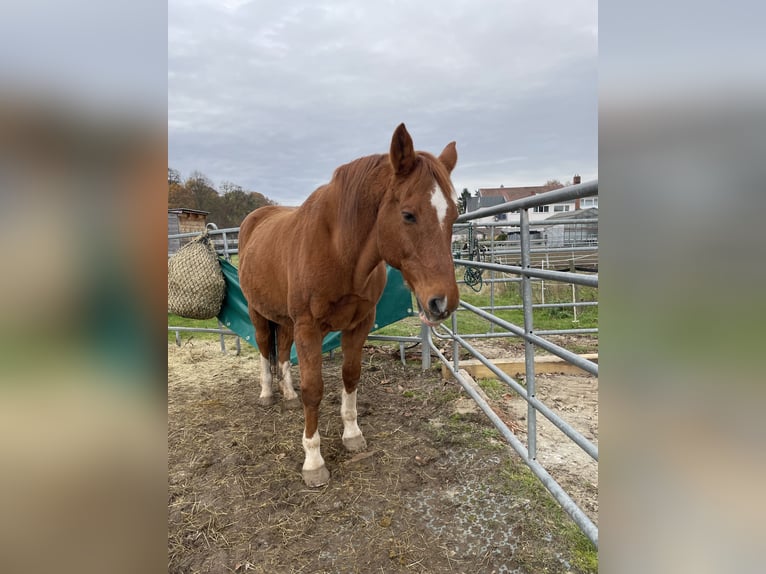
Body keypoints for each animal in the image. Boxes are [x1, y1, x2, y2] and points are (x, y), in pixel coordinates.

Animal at [238, 123, 460, 487]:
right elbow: (314, 389)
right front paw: (313, 461)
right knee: (263, 349)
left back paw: (287, 394)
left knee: (281, 351)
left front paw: (352, 434)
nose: (443, 301)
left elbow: (351, 376)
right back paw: (268, 394)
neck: (339, 249)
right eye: (408, 214)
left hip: (286, 321)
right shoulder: (309, 328)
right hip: (259, 313)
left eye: (453, 215)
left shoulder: (359, 323)